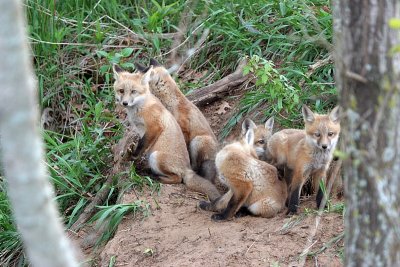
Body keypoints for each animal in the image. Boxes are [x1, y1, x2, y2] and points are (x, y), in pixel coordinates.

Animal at [111, 64, 222, 201]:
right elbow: (142, 144)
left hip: (157, 156)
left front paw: (133, 156)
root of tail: (187, 168)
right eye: (121, 91)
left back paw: (156, 177)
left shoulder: (155, 126)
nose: (125, 103)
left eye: (133, 91)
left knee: (178, 179)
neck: (140, 107)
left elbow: (141, 144)